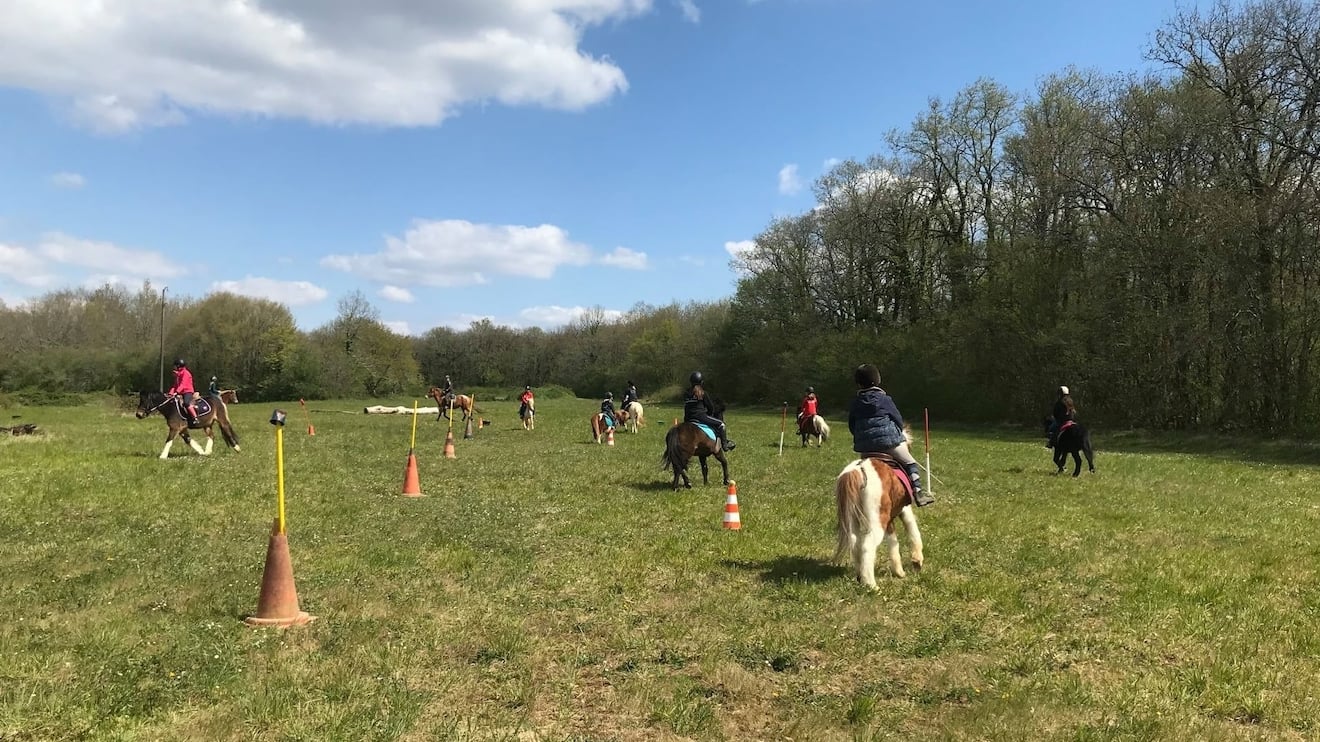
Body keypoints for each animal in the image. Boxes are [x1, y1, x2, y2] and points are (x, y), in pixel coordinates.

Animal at [834, 430, 929, 586]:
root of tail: (859, 469)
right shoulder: (905, 510)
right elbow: (913, 531)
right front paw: (917, 561)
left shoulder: (889, 520)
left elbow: (893, 542)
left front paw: (899, 572)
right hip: (877, 521)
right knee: (867, 546)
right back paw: (871, 585)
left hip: (853, 518)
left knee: (855, 542)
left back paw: (860, 576)